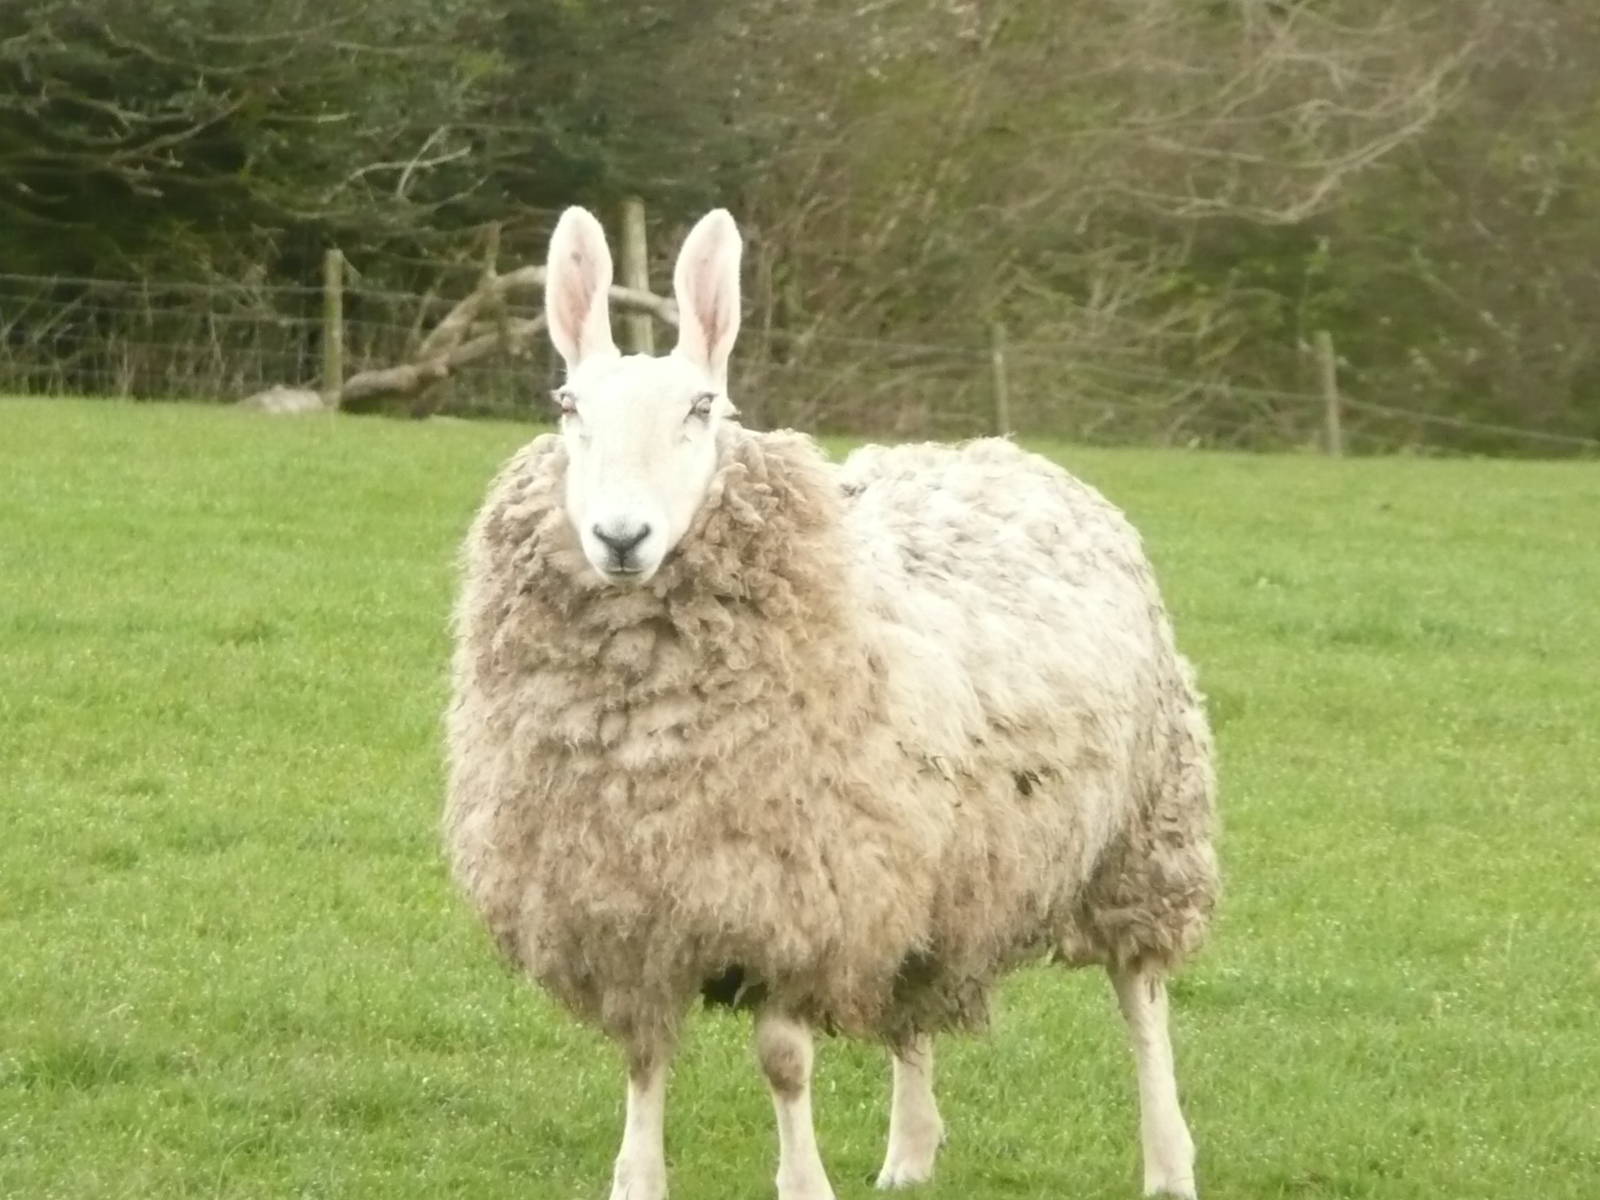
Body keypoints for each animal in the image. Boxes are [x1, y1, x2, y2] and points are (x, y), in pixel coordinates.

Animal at [444, 206, 1220, 1200]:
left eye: (701, 409)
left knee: (1142, 999)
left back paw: (1167, 1161)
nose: (620, 536)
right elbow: (645, 1059)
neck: (649, 749)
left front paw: (804, 1182)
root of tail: (995, 448)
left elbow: (783, 1059)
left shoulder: (802, 902)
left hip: (1143, 835)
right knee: (915, 1000)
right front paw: (637, 1178)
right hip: (933, 869)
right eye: (569, 408)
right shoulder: (634, 910)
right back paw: (910, 1153)